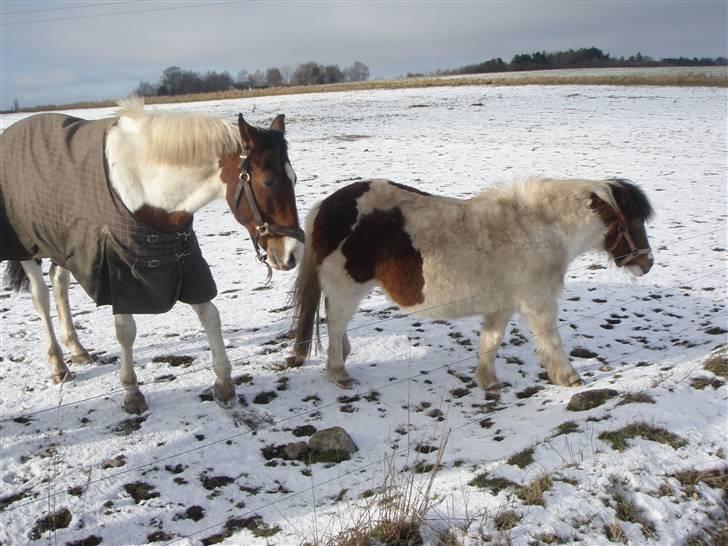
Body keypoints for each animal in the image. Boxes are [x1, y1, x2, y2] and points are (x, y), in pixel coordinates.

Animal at [0, 99, 302, 412]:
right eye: (269, 182)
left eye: (293, 178)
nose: (292, 252)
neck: (148, 190)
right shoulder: (120, 270)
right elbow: (125, 330)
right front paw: (132, 391)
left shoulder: (186, 262)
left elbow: (210, 316)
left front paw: (224, 384)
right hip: (27, 249)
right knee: (41, 298)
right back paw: (58, 365)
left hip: (62, 245)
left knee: (59, 283)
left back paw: (77, 349)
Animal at [286, 177, 656, 386]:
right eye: (633, 221)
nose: (647, 263)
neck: (538, 230)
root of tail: (325, 206)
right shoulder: (539, 304)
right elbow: (551, 341)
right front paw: (570, 379)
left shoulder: (503, 305)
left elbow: (490, 342)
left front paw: (488, 381)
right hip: (346, 288)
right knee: (335, 323)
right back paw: (339, 372)